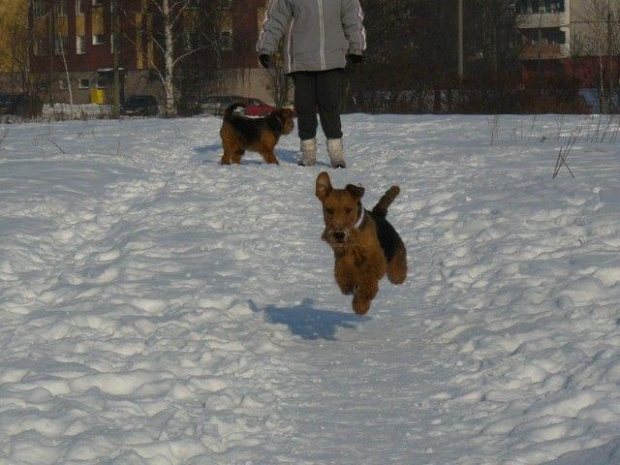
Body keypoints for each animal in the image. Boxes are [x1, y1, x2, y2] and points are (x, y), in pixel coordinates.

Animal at [315, 172, 407, 315]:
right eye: (329, 210)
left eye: (348, 209)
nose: (339, 235)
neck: (355, 238)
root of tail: (379, 214)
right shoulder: (343, 256)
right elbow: (344, 270)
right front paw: (350, 286)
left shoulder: (374, 256)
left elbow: (368, 278)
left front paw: (361, 303)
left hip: (396, 269)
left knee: (397, 276)